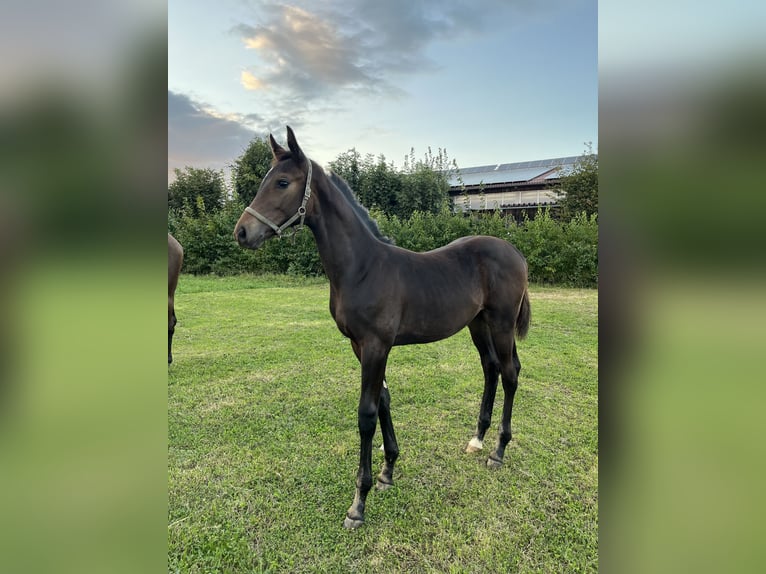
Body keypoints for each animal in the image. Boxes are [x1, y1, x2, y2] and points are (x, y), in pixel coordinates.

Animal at [237, 127, 532, 532]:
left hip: (502, 323)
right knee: (490, 369)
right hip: (478, 323)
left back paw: (499, 451)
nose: (241, 232)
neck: (362, 267)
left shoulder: (376, 345)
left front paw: (357, 504)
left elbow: (366, 414)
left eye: (282, 182)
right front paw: (387, 471)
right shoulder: (361, 347)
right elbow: (384, 402)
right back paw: (476, 440)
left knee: (509, 372)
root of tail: (514, 252)